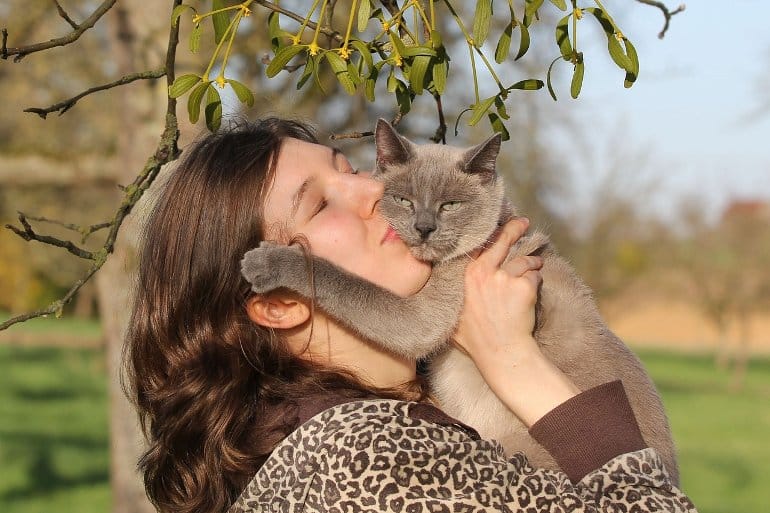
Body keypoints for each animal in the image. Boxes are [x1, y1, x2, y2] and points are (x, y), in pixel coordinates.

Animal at [242, 120, 680, 484]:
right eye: (404, 199)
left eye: (450, 205)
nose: (423, 228)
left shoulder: (423, 316)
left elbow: (339, 278)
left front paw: (261, 262)